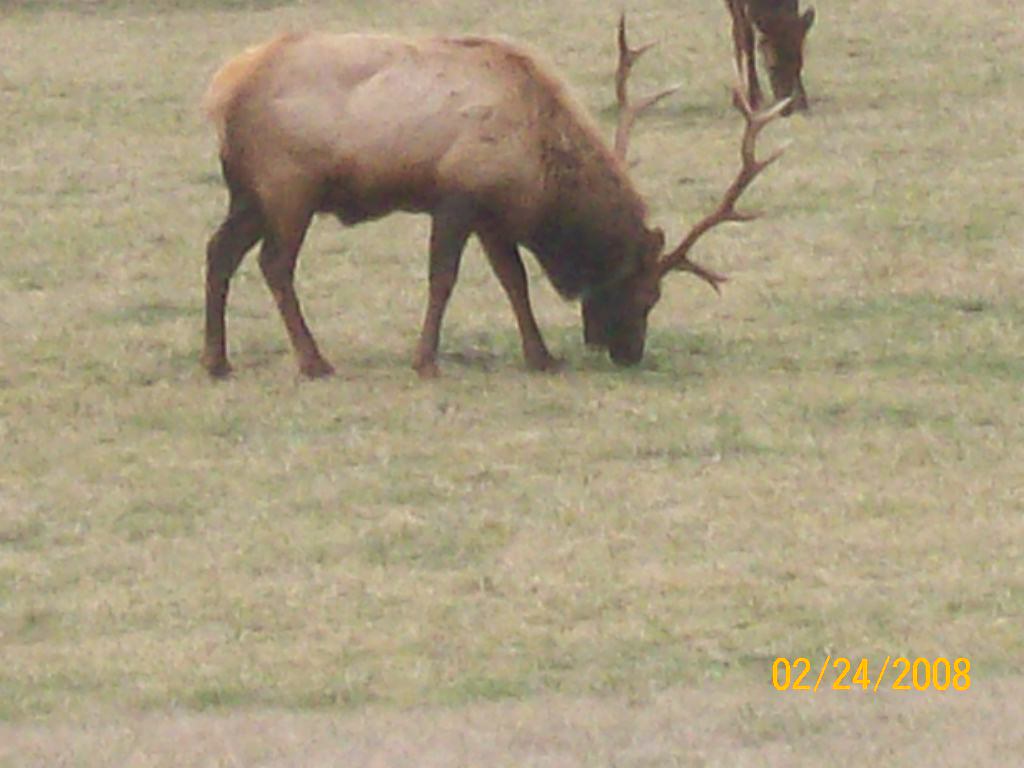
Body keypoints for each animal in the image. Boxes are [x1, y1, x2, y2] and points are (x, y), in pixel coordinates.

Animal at [201, 12, 790, 380]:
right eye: (649, 295)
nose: (628, 354)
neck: (539, 173)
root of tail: (224, 91)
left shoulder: (494, 216)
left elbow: (515, 281)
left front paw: (541, 356)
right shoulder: (457, 197)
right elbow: (444, 280)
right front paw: (426, 360)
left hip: (248, 194)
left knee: (218, 252)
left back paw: (217, 361)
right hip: (288, 187)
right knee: (275, 265)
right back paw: (314, 361)